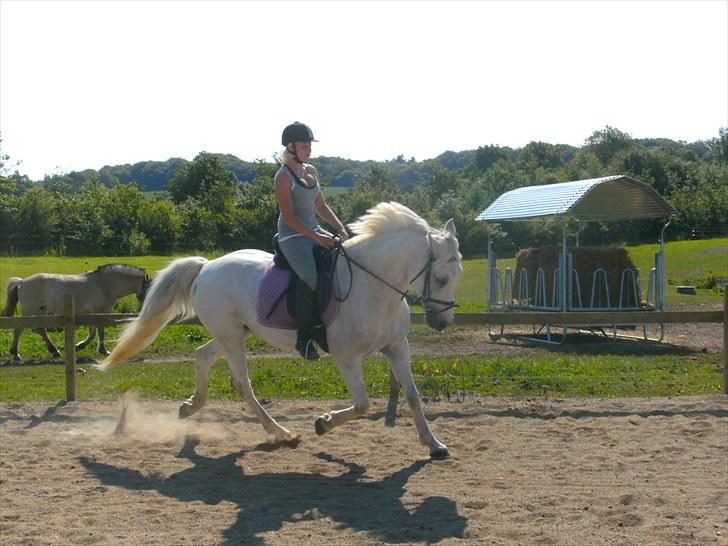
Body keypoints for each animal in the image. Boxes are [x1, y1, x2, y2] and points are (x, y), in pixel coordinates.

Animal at [3, 262, 152, 360]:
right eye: (150, 286)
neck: (104, 284)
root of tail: (22, 281)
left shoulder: (92, 314)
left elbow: (93, 332)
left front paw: (78, 346)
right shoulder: (99, 312)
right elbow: (100, 331)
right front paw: (104, 351)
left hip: (42, 311)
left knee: (41, 330)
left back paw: (55, 351)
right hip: (29, 311)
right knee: (19, 329)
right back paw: (16, 354)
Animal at [98, 202, 460, 456]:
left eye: (455, 277)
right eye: (441, 277)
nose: (441, 323)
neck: (373, 285)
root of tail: (207, 266)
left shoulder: (397, 348)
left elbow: (412, 396)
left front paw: (434, 445)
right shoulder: (346, 357)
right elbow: (362, 405)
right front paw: (322, 424)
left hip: (234, 333)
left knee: (202, 356)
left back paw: (190, 407)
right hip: (232, 338)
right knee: (242, 384)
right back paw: (280, 433)